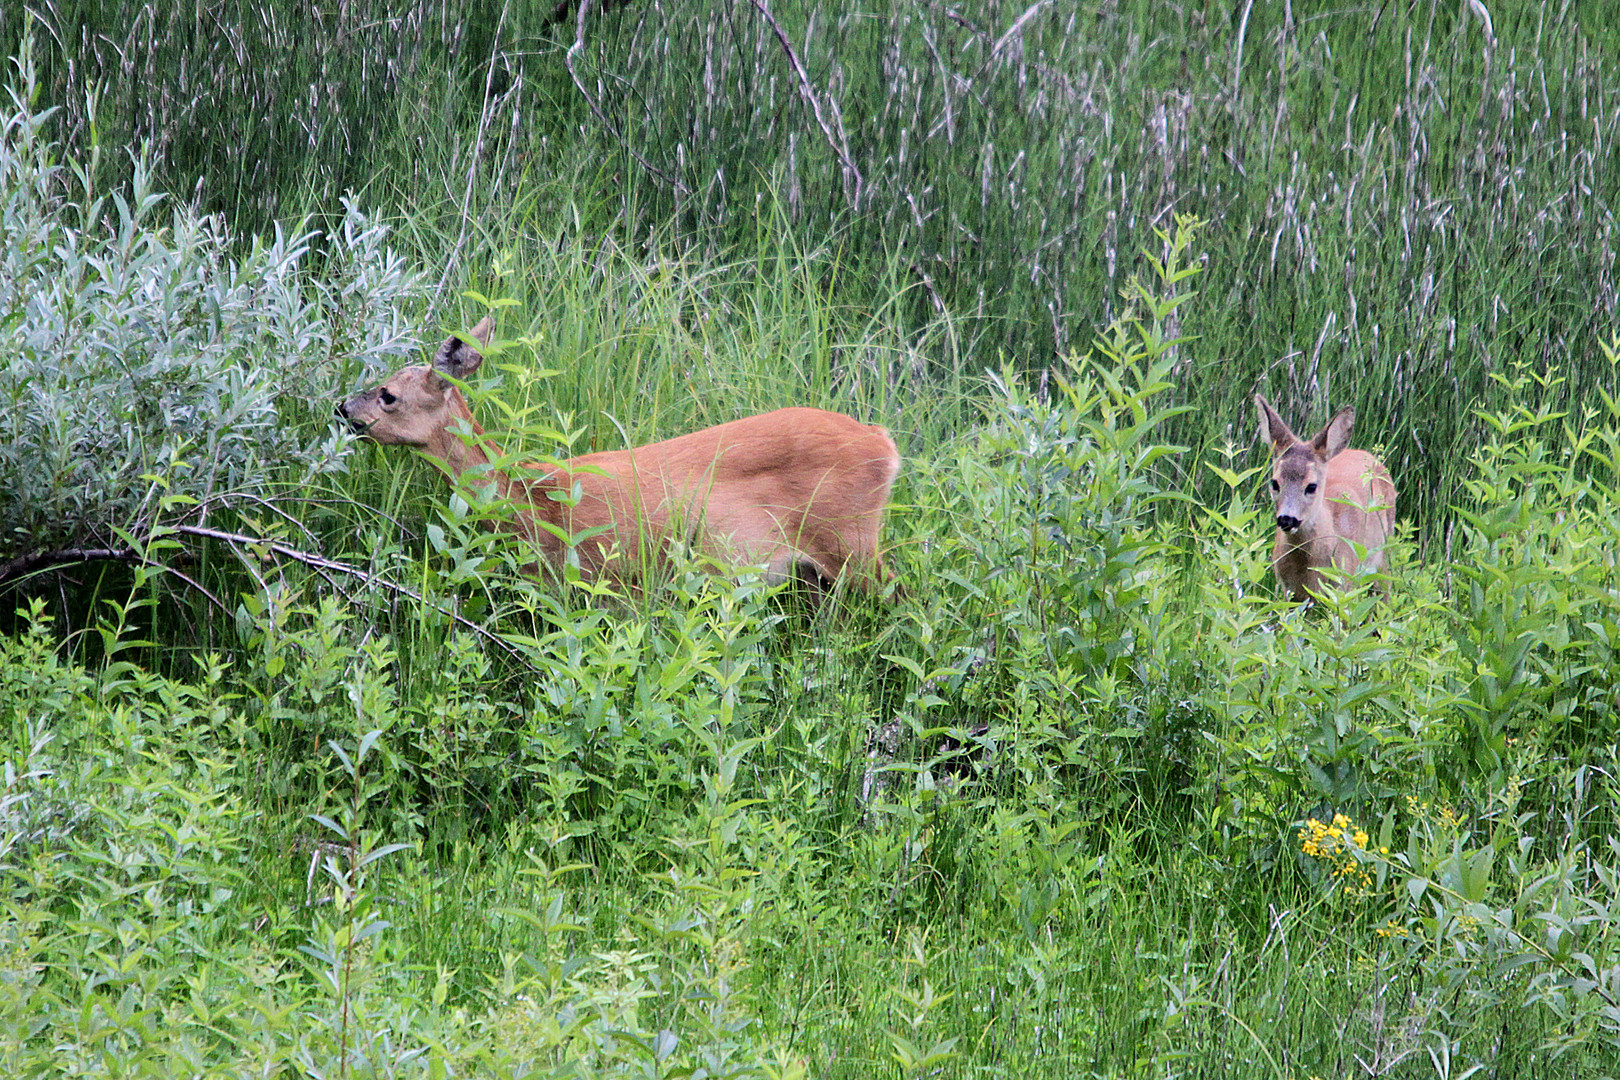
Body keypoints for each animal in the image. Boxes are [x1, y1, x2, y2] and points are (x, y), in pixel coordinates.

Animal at [338, 317, 900, 595]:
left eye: (388, 394)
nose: (344, 407)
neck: (527, 497)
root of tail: (884, 443)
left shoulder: (593, 575)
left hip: (848, 541)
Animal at [1250, 395, 1393, 605]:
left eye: (1311, 486)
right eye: (1274, 483)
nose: (1286, 519)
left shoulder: (1344, 584)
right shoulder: (1288, 589)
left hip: (1384, 555)